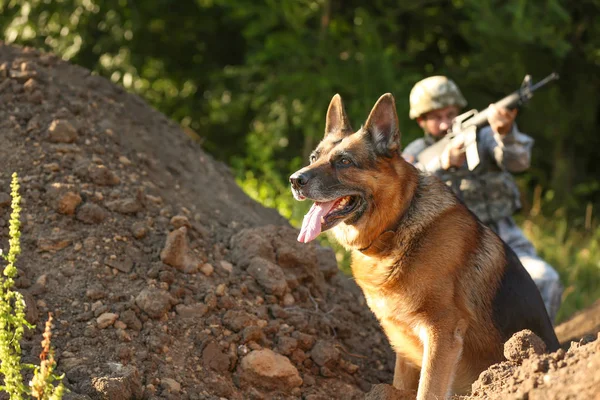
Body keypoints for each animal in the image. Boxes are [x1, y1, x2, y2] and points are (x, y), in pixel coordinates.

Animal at [288, 94, 560, 400]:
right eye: (314, 158)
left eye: (344, 161)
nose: (295, 180)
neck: (397, 225)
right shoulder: (405, 345)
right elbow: (400, 384)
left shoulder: (441, 333)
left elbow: (428, 389)